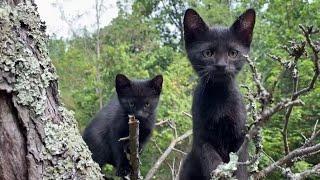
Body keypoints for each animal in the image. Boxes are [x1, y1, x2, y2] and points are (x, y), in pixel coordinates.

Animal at [178, 7, 255, 179]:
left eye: (233, 53)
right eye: (208, 53)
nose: (221, 65)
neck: (219, 95)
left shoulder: (240, 137)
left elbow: (240, 162)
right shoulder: (202, 139)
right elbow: (211, 161)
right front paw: (219, 172)